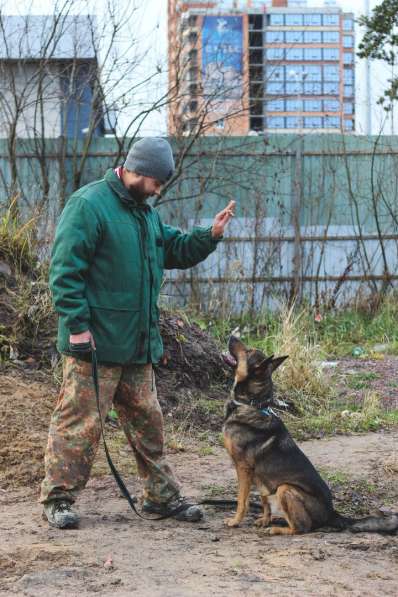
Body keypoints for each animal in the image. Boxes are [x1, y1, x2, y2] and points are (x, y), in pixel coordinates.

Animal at [222, 336, 398, 536]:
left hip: (285, 488)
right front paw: (264, 519)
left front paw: (235, 521)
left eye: (247, 351)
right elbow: (264, 501)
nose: (231, 337)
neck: (252, 404)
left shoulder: (243, 469)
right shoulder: (260, 479)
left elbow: (241, 500)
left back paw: (277, 529)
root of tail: (332, 513)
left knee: (301, 528)